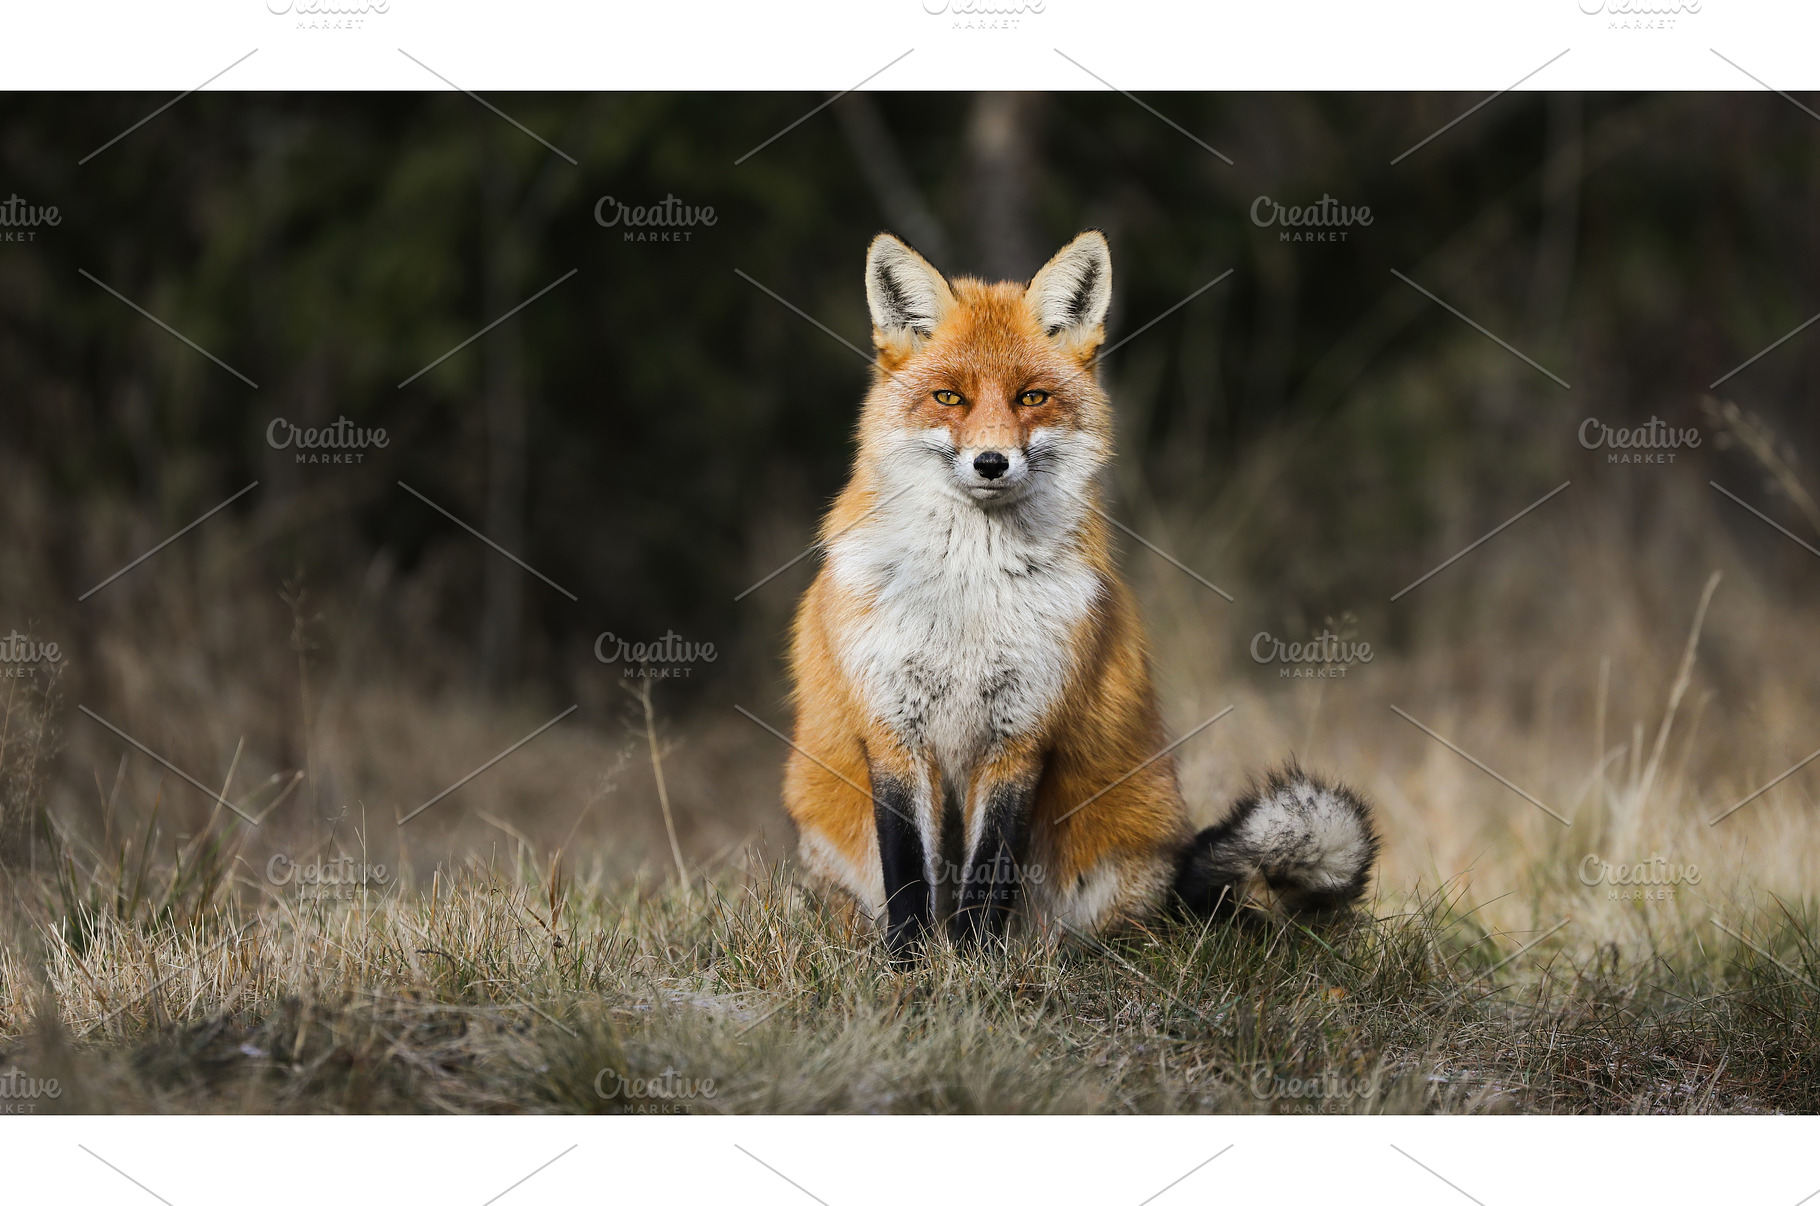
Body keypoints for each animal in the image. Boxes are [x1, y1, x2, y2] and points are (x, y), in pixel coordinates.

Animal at [782, 229, 1378, 958]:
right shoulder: (894, 729)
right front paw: (911, 966)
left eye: (1031, 398)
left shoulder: (1021, 734)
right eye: (949, 398)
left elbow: (990, 873)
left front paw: (974, 968)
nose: (991, 463)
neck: (968, 599)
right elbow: (909, 877)